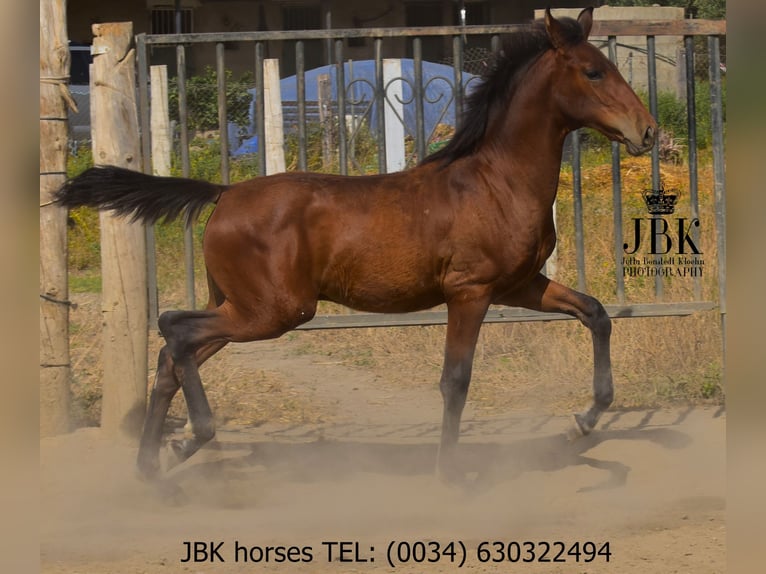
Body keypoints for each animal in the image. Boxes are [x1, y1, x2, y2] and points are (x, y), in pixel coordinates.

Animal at [56, 7, 656, 483]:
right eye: (593, 71)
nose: (647, 131)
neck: (496, 181)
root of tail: (223, 192)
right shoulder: (471, 291)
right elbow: (455, 381)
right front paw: (449, 474)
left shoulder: (519, 285)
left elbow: (596, 313)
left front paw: (583, 422)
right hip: (273, 311)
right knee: (174, 330)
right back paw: (191, 438)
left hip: (239, 305)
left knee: (169, 354)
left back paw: (151, 466)